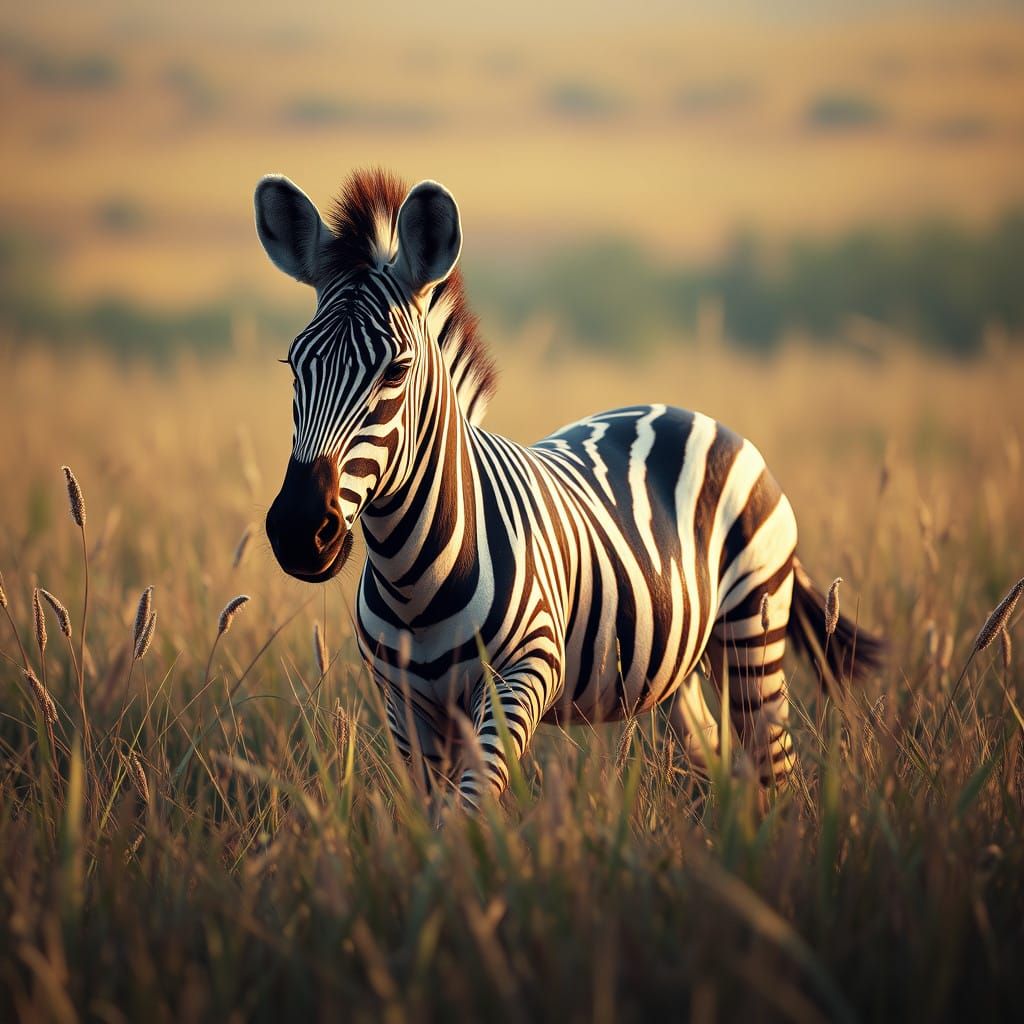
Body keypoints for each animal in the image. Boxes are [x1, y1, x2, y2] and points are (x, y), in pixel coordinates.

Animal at [257, 168, 882, 807]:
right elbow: (438, 818)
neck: (415, 579)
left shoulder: (522, 677)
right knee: (716, 756)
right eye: (293, 366)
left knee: (775, 765)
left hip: (752, 631)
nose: (299, 529)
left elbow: (470, 809)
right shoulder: (406, 706)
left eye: (396, 372)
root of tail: (692, 414)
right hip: (678, 663)